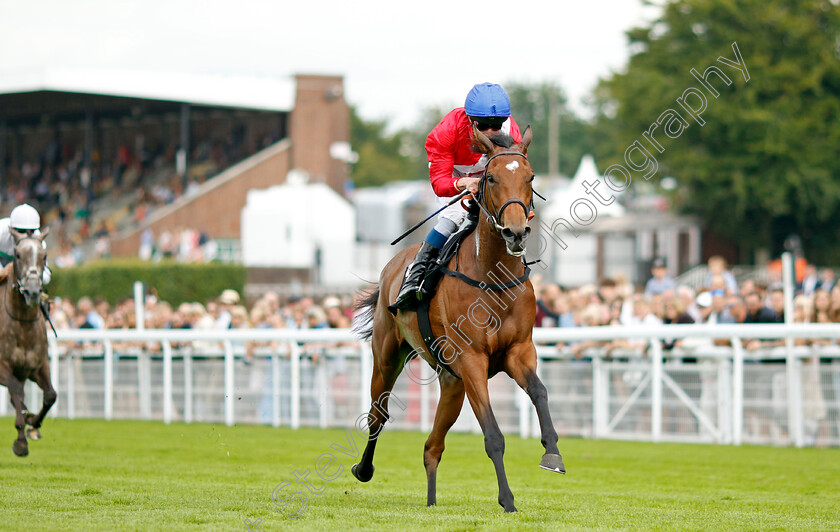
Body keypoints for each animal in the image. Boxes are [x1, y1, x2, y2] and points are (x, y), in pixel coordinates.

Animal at [354, 124, 564, 512]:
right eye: (492, 177)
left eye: (530, 177)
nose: (515, 232)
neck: (492, 275)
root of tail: (394, 264)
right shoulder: (471, 360)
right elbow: (493, 434)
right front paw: (507, 500)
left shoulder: (519, 351)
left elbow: (540, 392)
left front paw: (552, 454)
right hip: (388, 356)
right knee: (378, 414)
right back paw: (363, 468)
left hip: (451, 382)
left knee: (432, 446)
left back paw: (432, 501)